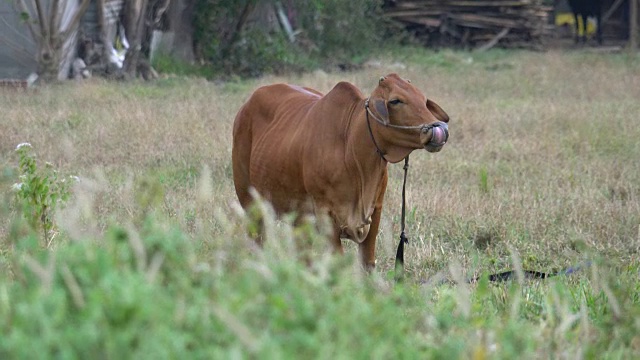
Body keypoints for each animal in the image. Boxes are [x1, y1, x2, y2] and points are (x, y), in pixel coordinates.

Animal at [231, 74, 450, 270]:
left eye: (422, 99)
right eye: (395, 100)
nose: (439, 130)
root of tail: (245, 106)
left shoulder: (376, 210)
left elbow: (367, 264)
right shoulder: (326, 215)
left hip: (298, 216)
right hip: (249, 201)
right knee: (257, 242)